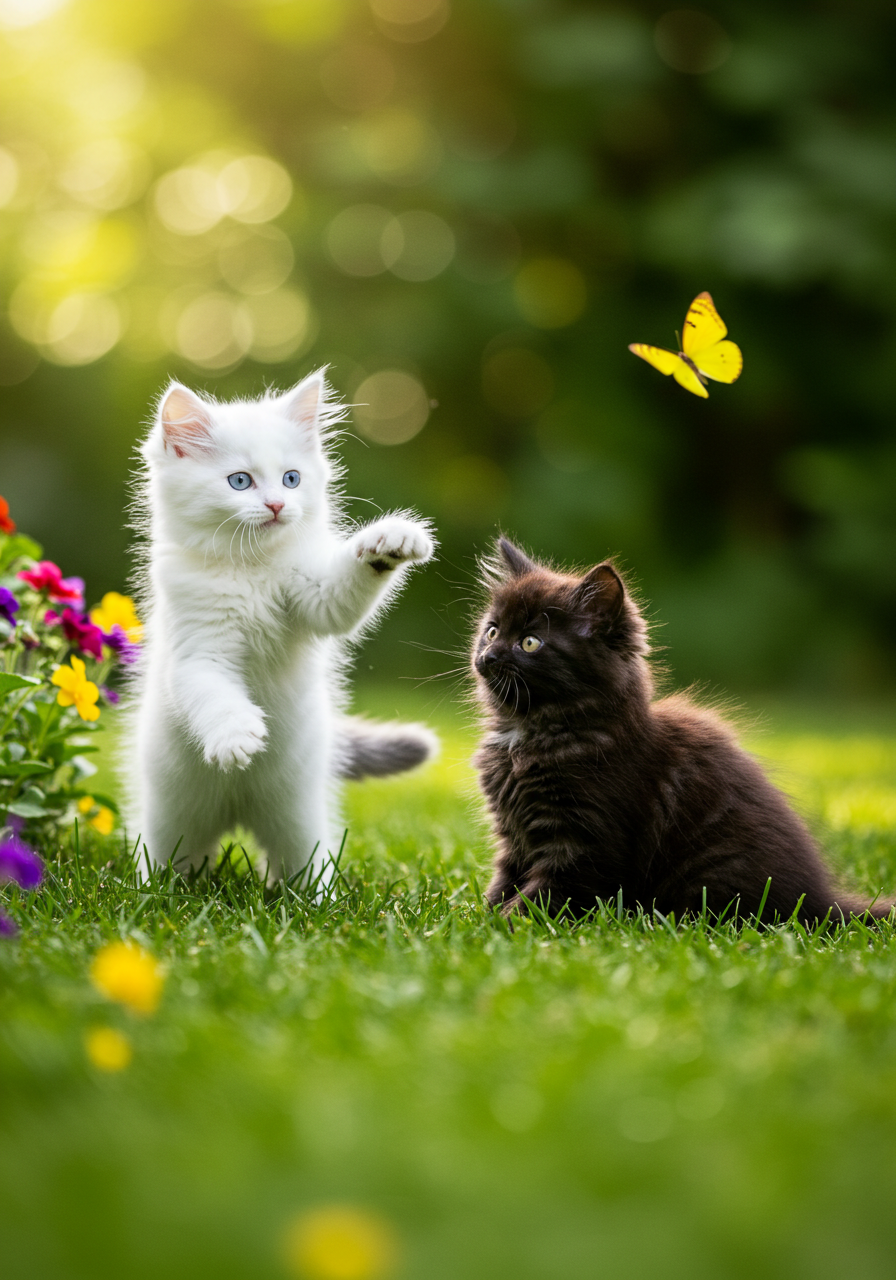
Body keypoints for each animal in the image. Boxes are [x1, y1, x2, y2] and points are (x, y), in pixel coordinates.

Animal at [125, 373, 435, 880]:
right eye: (240, 481)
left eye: (292, 479)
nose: (275, 504)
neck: (250, 567)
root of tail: (236, 813)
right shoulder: (195, 650)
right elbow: (214, 692)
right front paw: (236, 738)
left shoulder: (317, 596)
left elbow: (343, 595)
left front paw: (391, 540)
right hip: (171, 820)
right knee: (164, 860)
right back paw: (160, 887)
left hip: (297, 816)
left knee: (303, 865)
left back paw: (316, 896)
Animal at [473, 535, 890, 926]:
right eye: (492, 632)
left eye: (530, 642)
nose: (487, 657)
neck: (528, 732)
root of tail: (825, 905)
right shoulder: (514, 838)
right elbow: (502, 883)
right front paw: (480, 915)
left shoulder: (582, 840)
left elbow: (544, 894)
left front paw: (506, 925)